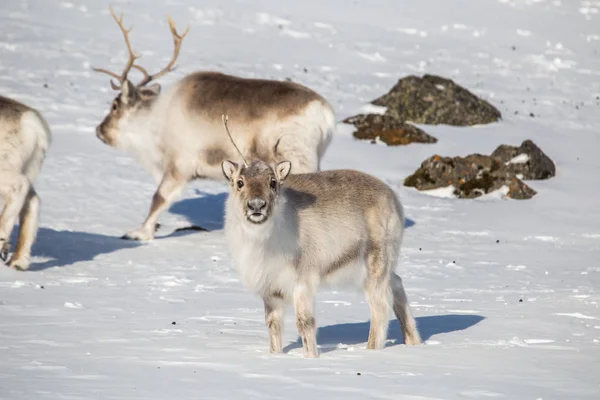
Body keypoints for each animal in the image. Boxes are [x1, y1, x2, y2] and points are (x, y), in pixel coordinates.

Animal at [221, 158, 422, 358]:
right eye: (240, 182)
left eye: (273, 182)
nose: (256, 205)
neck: (262, 241)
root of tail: (393, 198)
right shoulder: (271, 289)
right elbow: (273, 325)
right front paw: (275, 355)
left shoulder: (302, 282)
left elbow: (304, 323)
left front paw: (311, 357)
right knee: (396, 284)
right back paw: (413, 341)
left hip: (375, 264)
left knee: (380, 307)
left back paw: (370, 350)